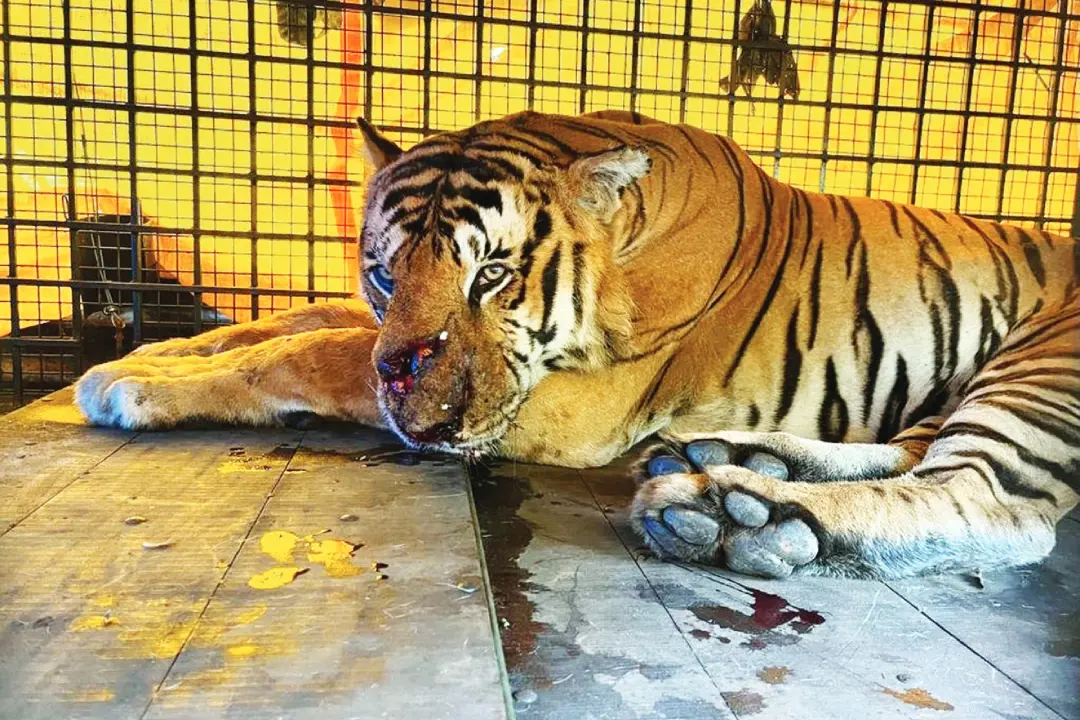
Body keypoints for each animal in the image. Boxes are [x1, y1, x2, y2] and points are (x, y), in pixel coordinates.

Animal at [74, 110, 1080, 580]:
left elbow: (312, 353)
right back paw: (734, 462)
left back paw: (739, 514)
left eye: (490, 275)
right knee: (908, 455)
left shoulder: (558, 405)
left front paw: (128, 388)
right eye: (387, 274)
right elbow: (300, 321)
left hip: (1034, 373)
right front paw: (135, 358)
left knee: (991, 504)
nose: (404, 390)